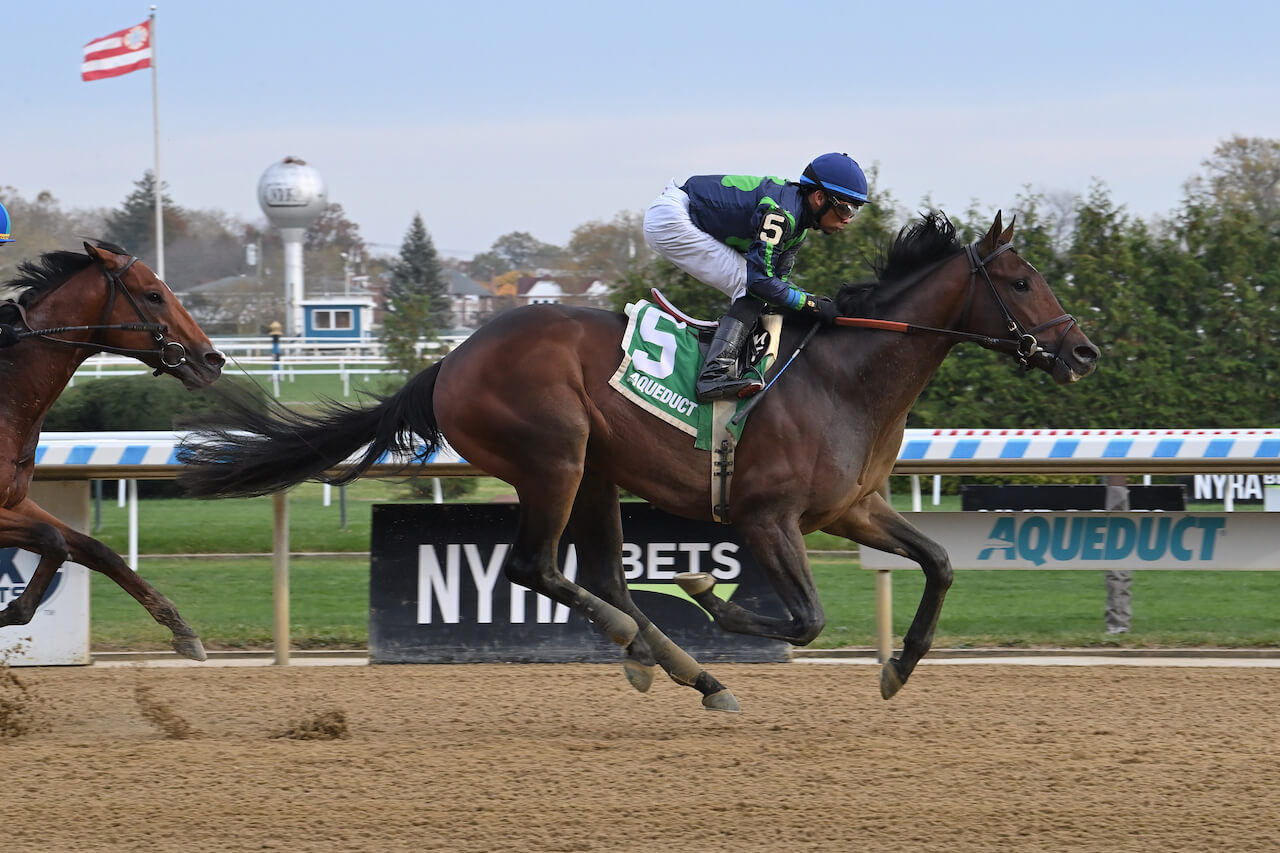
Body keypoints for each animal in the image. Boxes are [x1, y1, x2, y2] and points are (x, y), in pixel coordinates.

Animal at [0, 239, 225, 655]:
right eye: (154, 295)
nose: (212, 359)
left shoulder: (15, 501)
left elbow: (90, 547)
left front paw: (181, 628)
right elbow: (54, 540)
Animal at [180, 212, 1100, 701]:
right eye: (1021, 282)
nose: (1082, 352)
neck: (845, 374)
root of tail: (453, 358)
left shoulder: (853, 507)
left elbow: (940, 561)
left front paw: (900, 665)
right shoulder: (767, 518)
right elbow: (802, 618)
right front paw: (711, 594)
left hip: (595, 472)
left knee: (599, 576)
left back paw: (686, 671)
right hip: (555, 456)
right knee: (537, 568)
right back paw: (658, 647)